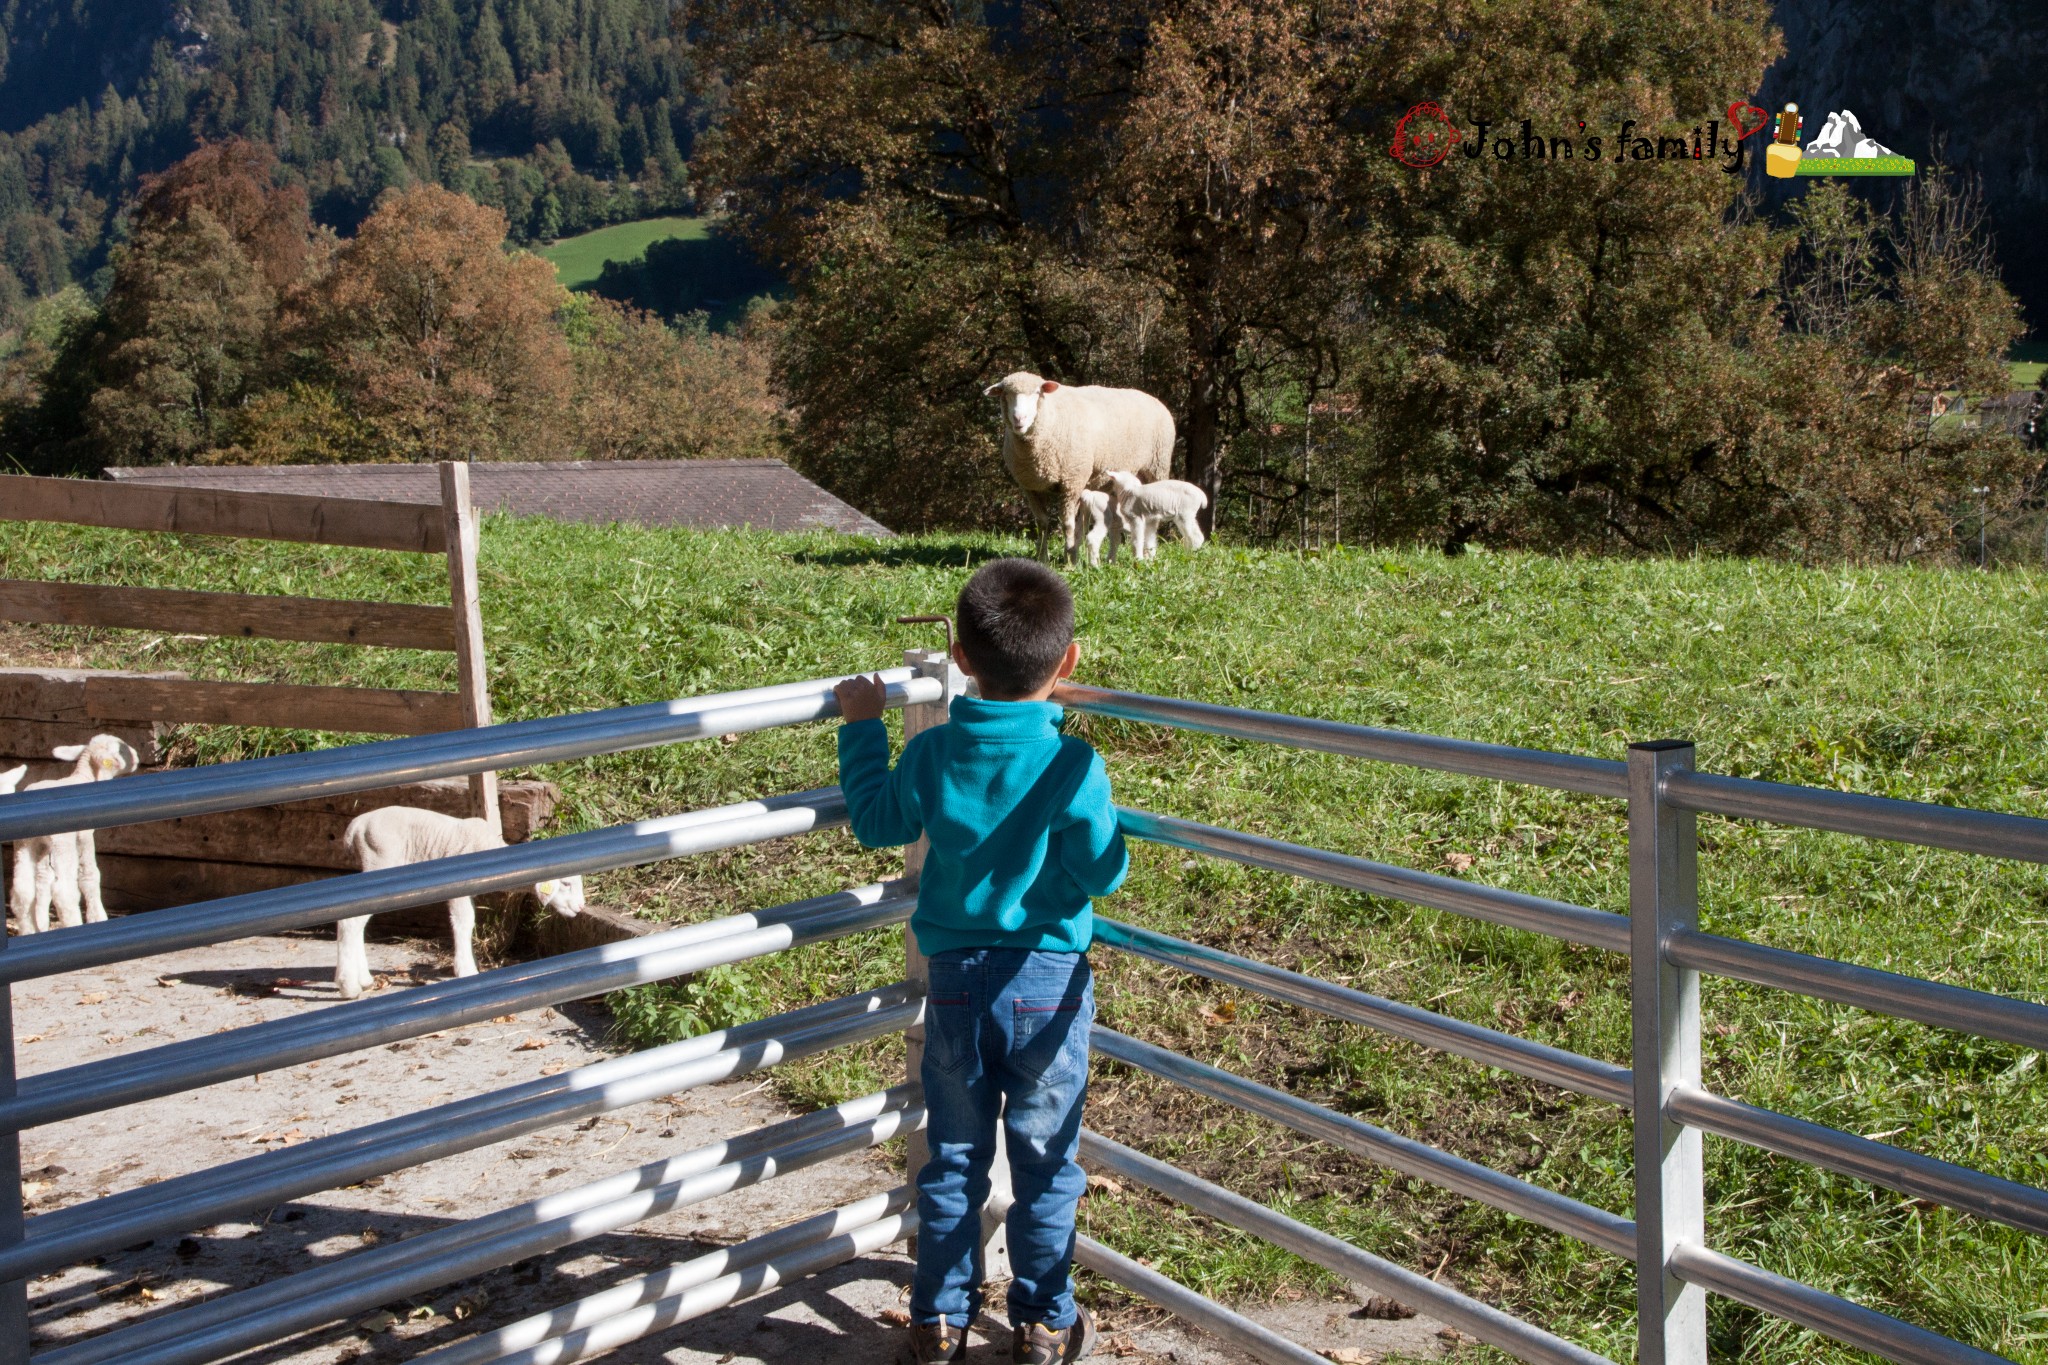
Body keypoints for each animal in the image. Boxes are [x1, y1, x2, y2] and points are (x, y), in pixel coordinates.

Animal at [7, 736, 139, 941]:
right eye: (122, 750)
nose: (137, 757)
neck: (85, 778)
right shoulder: (84, 836)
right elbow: (89, 875)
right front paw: (97, 917)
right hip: (63, 843)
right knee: (64, 891)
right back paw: (74, 925)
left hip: (25, 844)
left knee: (23, 890)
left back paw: (29, 931)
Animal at [337, 806, 585, 998]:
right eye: (565, 884)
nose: (581, 907)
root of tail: (356, 825)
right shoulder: (459, 890)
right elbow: (464, 922)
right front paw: (466, 970)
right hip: (379, 861)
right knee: (350, 922)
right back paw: (348, 985)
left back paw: (363, 979)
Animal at [987, 370, 1179, 564]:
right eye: (1006, 394)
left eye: (1036, 393)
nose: (1019, 419)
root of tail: (1153, 398)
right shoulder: (1031, 486)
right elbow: (1042, 522)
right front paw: (1043, 558)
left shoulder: (1072, 481)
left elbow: (1067, 523)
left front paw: (1070, 560)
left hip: (1157, 466)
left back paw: (1148, 555)